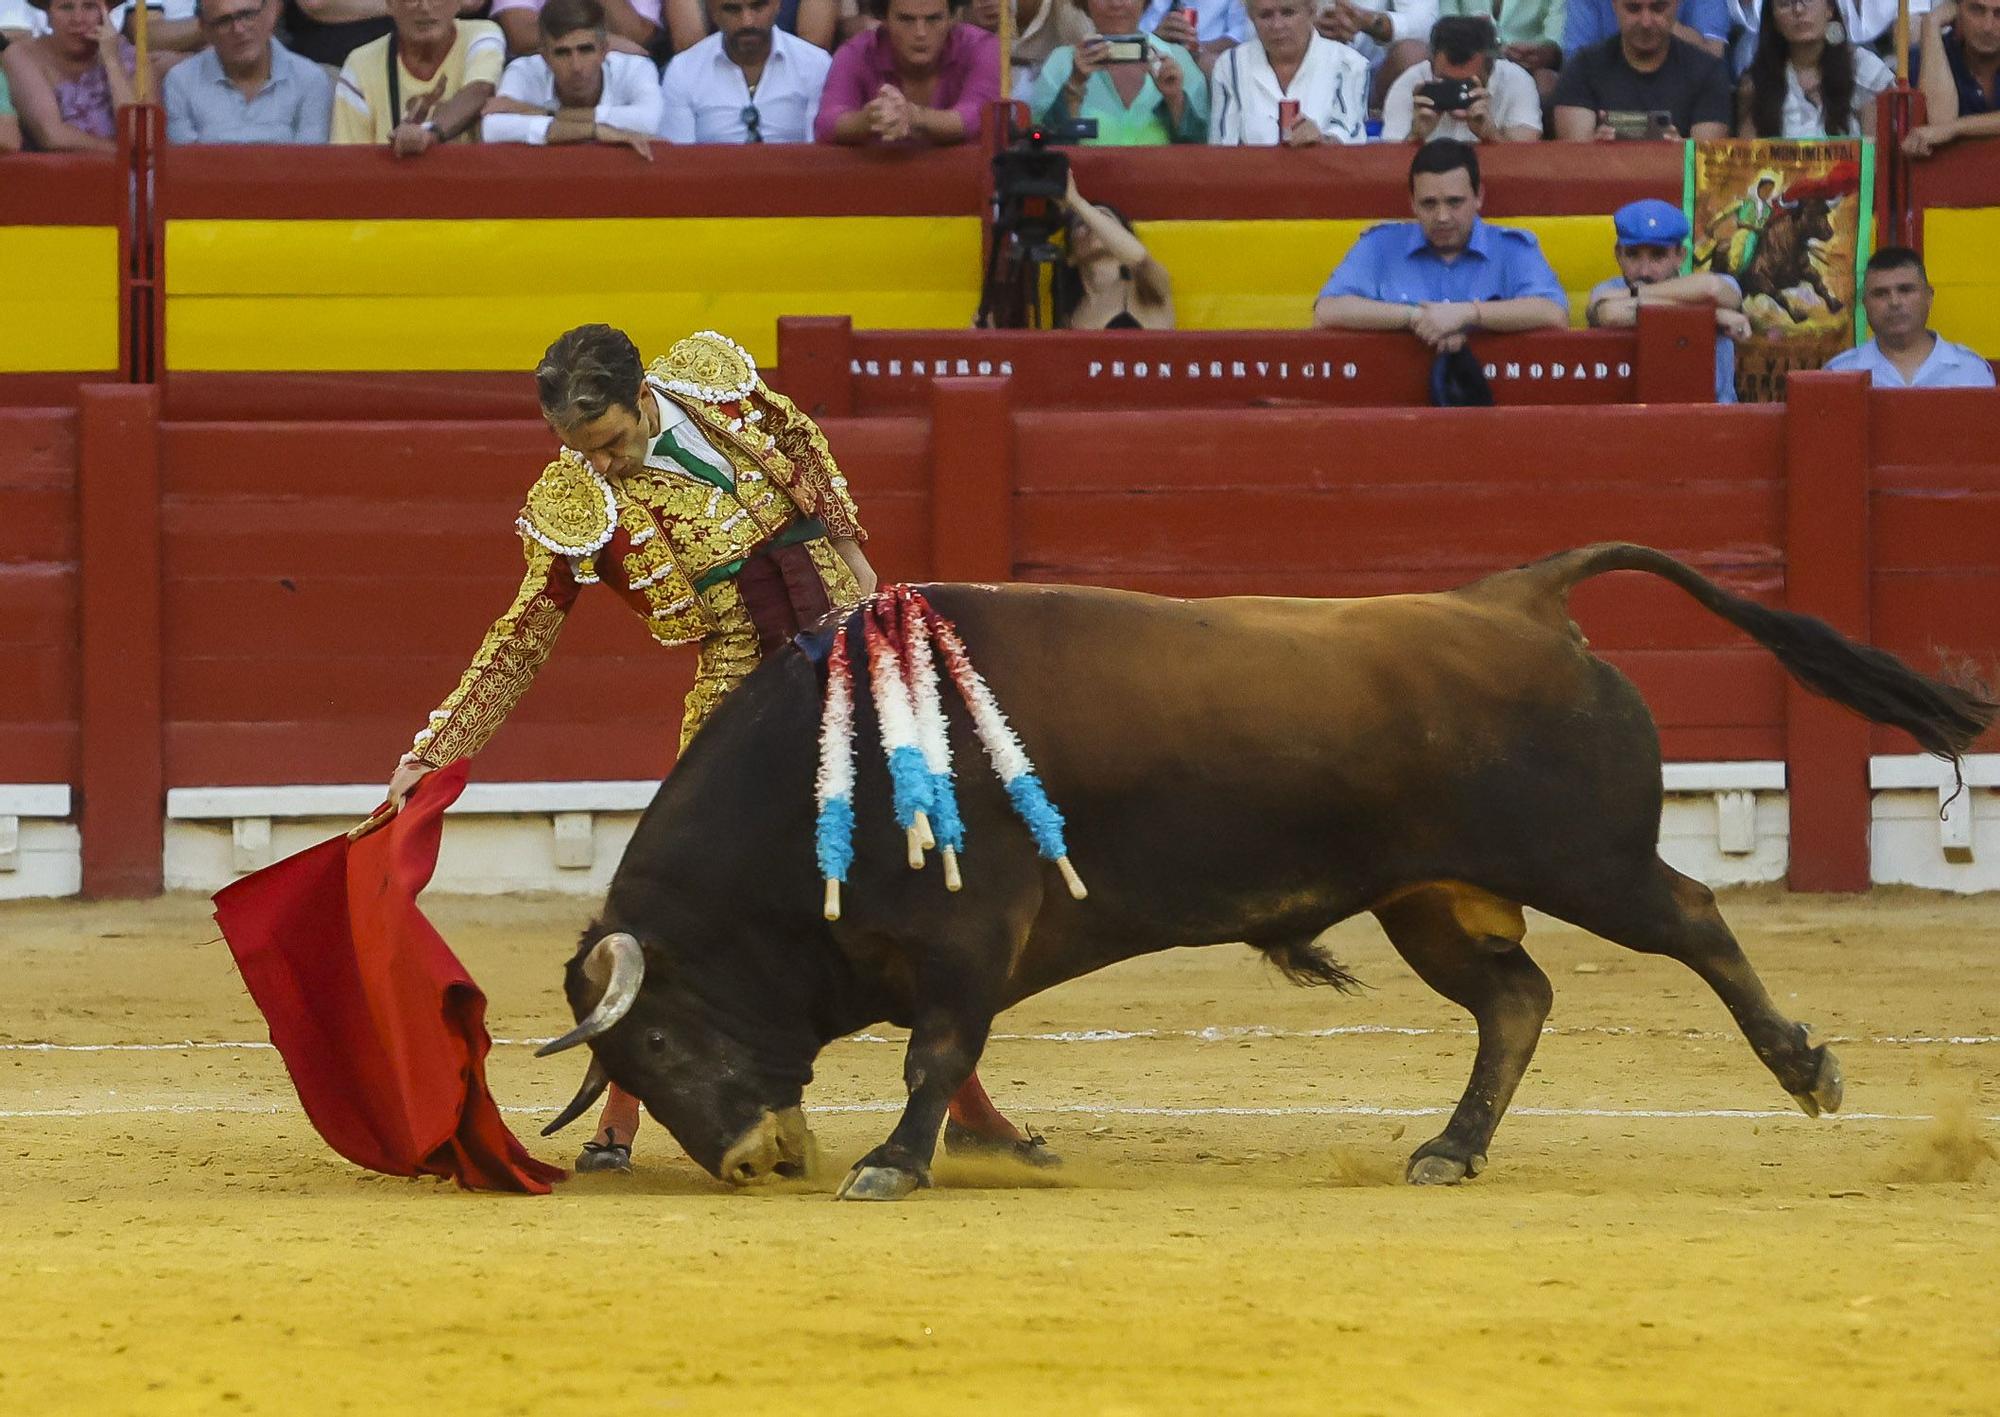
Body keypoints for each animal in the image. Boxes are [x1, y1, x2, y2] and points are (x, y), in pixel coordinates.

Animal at [540, 548, 1992, 1200]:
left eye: (652, 1039)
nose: (741, 1159)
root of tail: (1522, 596)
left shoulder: (967, 938)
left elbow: (933, 1051)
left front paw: (892, 1164)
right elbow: (941, 1054)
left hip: (1589, 860)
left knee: (1690, 919)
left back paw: (1806, 1069)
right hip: (1430, 896)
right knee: (1516, 999)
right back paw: (1448, 1149)